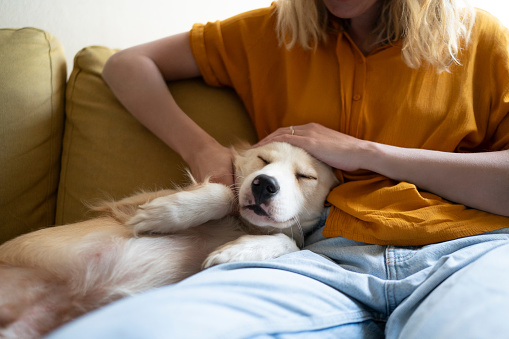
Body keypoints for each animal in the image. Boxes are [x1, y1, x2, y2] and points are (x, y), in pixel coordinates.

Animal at [0, 143, 338, 339]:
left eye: (306, 176)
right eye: (262, 159)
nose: (264, 184)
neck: (243, 224)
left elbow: (290, 241)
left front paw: (236, 250)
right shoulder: (126, 206)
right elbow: (223, 192)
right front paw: (162, 216)